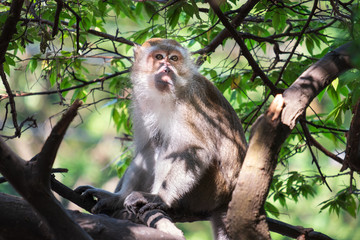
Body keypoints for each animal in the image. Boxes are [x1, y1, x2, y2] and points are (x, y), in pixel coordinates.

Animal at [76, 38, 248, 239]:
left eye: (173, 58)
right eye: (159, 57)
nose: (167, 68)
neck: (166, 96)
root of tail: (228, 198)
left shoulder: (192, 101)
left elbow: (195, 149)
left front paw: (160, 197)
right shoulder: (140, 103)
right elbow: (146, 146)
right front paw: (117, 197)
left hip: (211, 191)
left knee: (172, 147)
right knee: (153, 146)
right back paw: (119, 198)